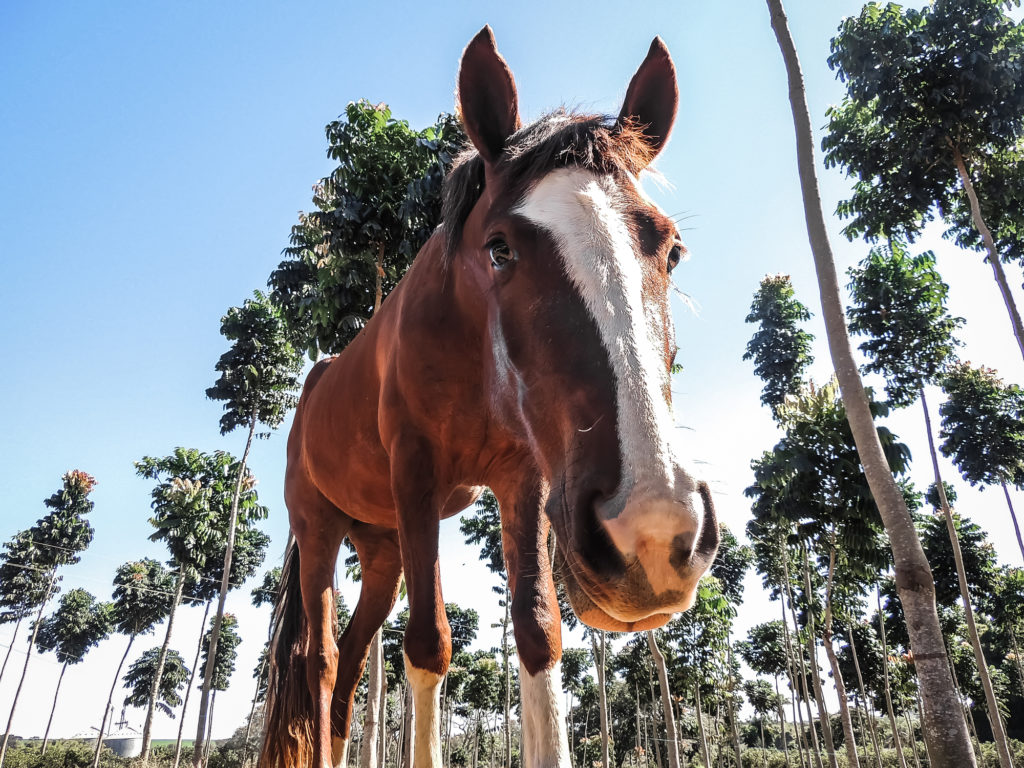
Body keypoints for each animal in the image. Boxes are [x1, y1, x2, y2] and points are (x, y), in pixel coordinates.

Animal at [260, 26, 719, 768]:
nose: (651, 532)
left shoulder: (523, 480)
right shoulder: (416, 478)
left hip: (381, 549)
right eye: (499, 248)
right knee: (320, 660)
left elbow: (538, 631)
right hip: (319, 526)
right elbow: (428, 645)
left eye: (671, 249)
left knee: (352, 661)